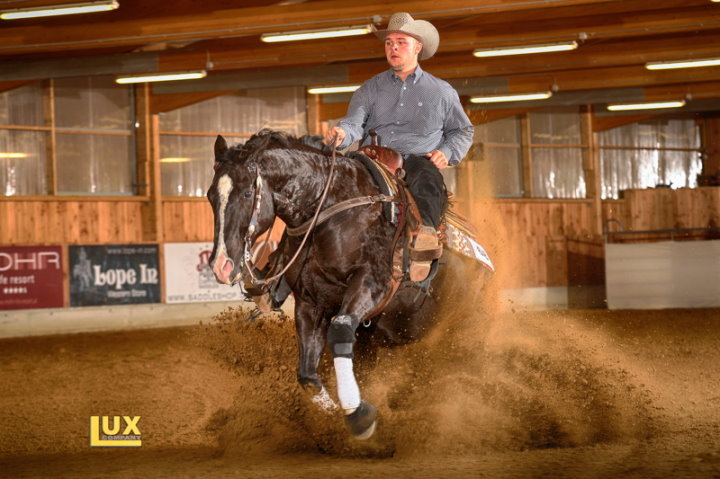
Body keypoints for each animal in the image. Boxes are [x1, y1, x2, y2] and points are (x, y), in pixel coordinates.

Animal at [208, 129, 490, 440]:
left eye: (247, 192)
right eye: (210, 196)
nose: (221, 264)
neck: (331, 208)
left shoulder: (372, 283)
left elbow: (340, 329)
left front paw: (358, 416)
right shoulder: (311, 303)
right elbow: (308, 375)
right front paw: (338, 414)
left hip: (454, 330)